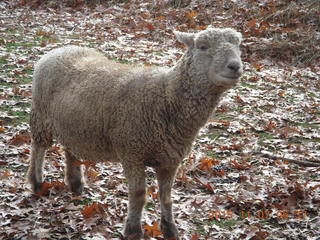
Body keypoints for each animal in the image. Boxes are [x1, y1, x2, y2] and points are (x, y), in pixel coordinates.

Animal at [27, 27, 242, 240]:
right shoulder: (132, 152)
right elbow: (138, 195)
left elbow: (166, 197)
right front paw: (133, 230)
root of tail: (59, 49)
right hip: (41, 115)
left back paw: (75, 183)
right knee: (39, 147)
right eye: (203, 46)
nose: (235, 66)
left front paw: (170, 229)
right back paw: (37, 183)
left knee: (70, 149)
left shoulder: (169, 159)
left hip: (73, 124)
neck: (166, 96)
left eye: (238, 45)